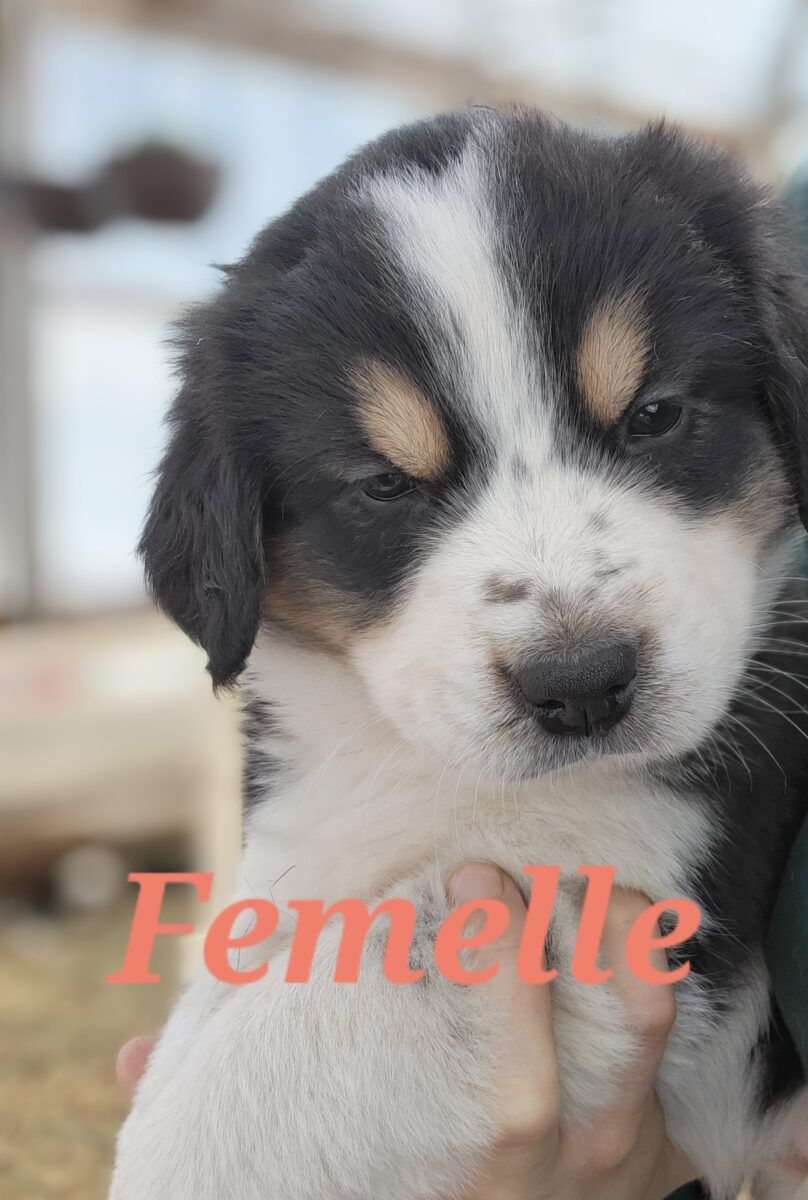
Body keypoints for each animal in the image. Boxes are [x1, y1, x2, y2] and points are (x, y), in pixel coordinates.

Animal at [111, 108, 806, 1195]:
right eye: (385, 484)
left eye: (654, 415)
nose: (581, 685)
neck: (424, 769)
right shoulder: (312, 840)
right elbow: (242, 978)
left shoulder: (642, 896)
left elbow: (368, 977)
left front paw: (169, 1153)